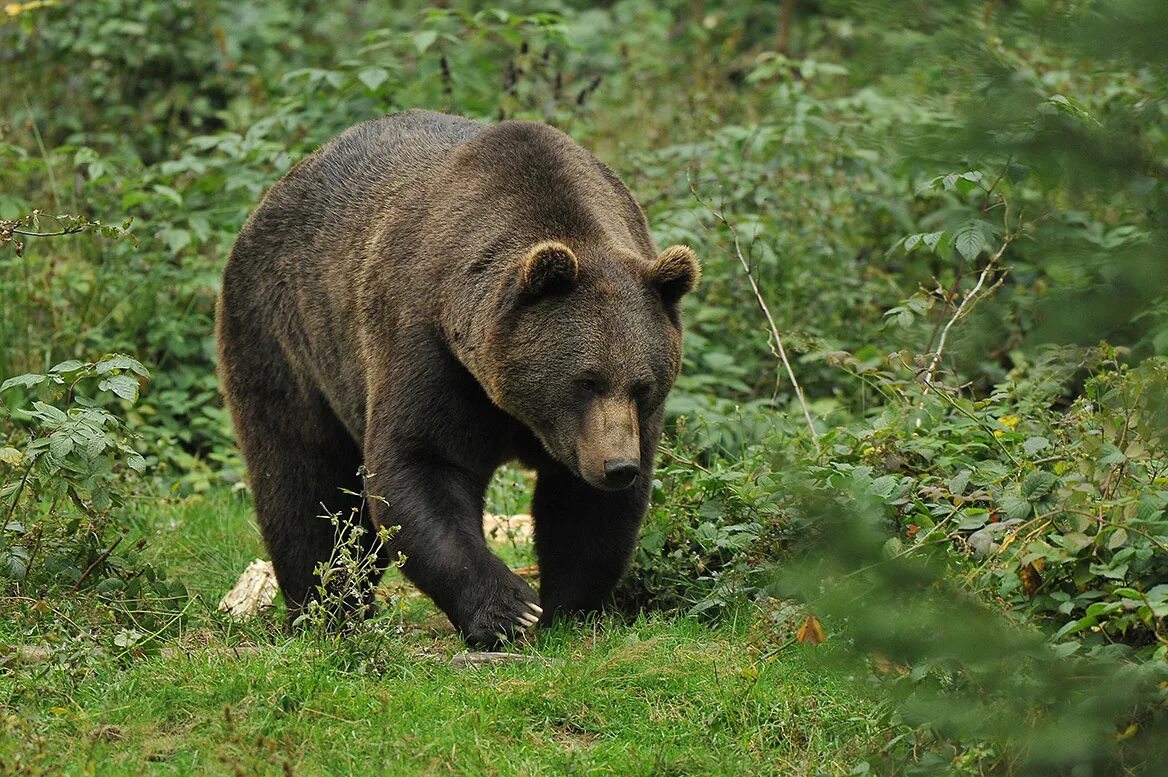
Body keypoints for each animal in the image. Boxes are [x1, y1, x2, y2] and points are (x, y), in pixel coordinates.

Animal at [216, 107, 696, 640]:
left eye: (643, 385)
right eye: (585, 380)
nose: (617, 466)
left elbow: (584, 511)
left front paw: (571, 608)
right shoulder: (430, 347)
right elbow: (421, 463)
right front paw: (509, 609)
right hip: (283, 333)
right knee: (304, 480)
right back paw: (327, 607)